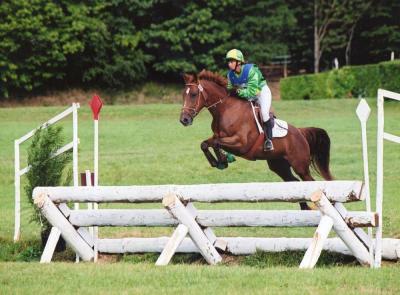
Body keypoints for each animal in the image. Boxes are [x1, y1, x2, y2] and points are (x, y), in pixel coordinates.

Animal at [180, 70, 332, 210]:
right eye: (183, 95)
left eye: (193, 94)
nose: (184, 120)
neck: (225, 109)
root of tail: (300, 132)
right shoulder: (217, 136)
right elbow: (205, 144)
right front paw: (219, 162)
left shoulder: (241, 144)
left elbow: (217, 143)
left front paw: (223, 161)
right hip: (279, 165)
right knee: (294, 182)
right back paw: (305, 208)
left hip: (300, 166)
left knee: (309, 181)